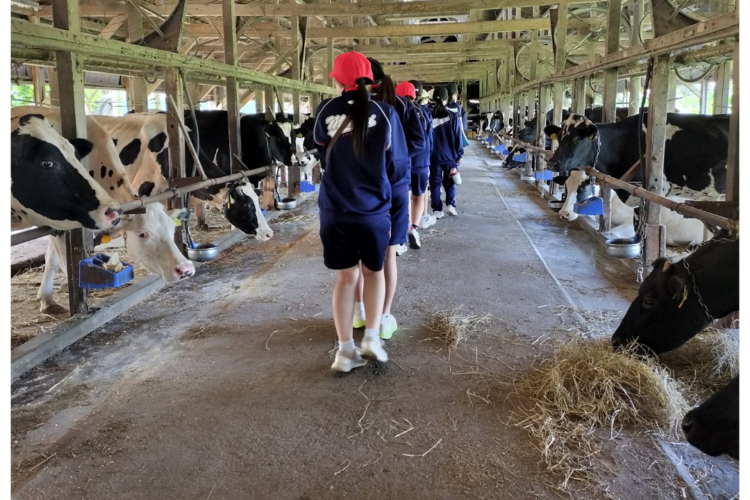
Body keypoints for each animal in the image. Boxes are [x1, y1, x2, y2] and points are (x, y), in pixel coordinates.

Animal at [11, 107, 197, 314]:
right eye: (143, 234)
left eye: (172, 229)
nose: (185, 268)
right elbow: (59, 260)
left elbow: (52, 256)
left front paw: (48, 298)